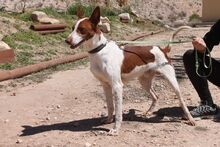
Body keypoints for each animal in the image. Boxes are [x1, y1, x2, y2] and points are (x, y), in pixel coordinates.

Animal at [65, 6, 194, 135]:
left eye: (81, 29)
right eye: (72, 28)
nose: (67, 40)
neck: (99, 51)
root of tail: (162, 49)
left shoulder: (117, 86)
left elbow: (118, 111)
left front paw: (115, 129)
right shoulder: (105, 85)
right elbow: (110, 106)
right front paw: (108, 120)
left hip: (171, 80)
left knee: (181, 101)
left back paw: (190, 119)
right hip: (144, 81)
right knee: (155, 96)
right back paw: (148, 112)